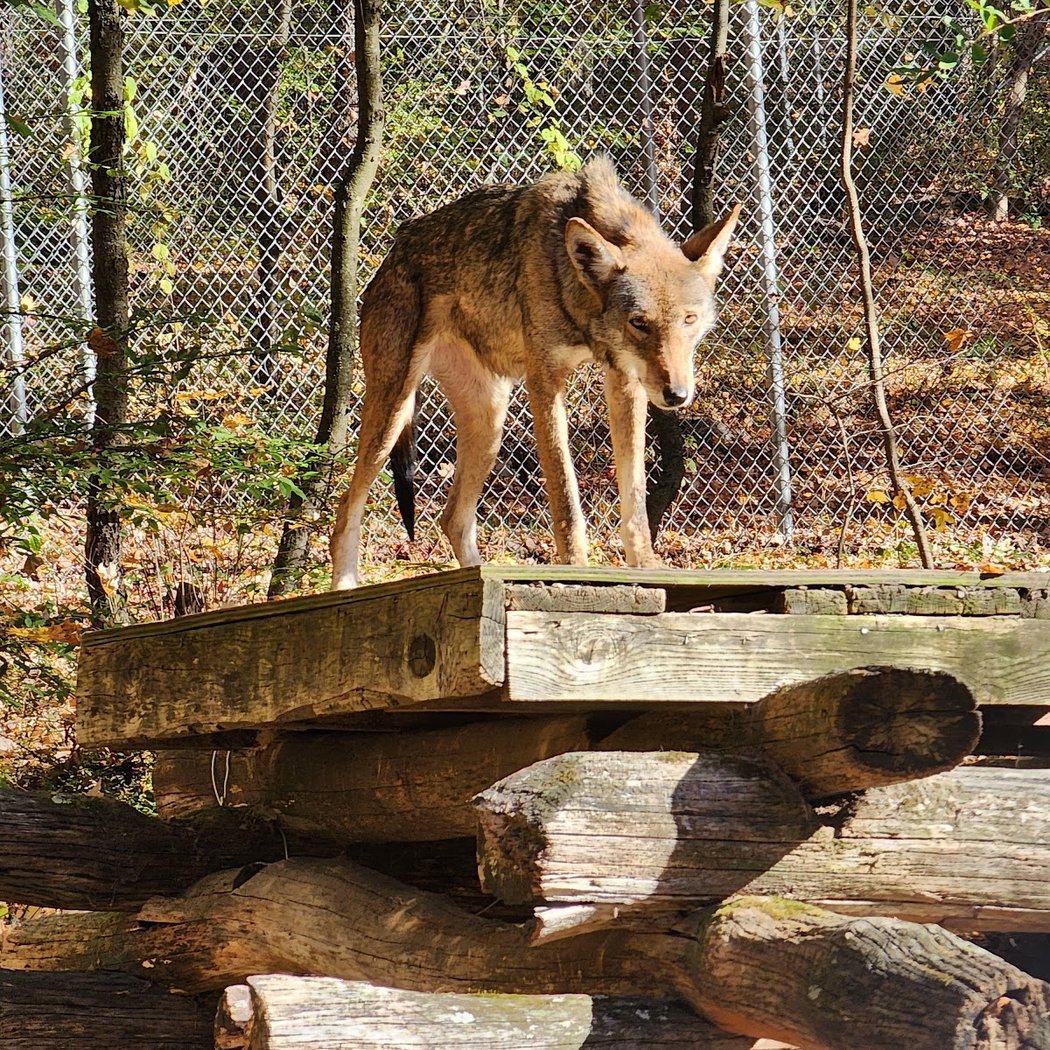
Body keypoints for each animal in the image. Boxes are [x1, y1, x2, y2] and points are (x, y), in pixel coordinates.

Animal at [330, 157, 741, 589]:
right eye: (639, 323)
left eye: (688, 320)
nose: (677, 395)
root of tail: (394, 251)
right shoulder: (545, 381)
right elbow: (566, 497)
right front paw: (576, 568)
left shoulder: (626, 383)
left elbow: (635, 499)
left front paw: (644, 567)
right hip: (393, 413)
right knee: (345, 510)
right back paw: (344, 590)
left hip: (489, 424)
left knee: (453, 519)